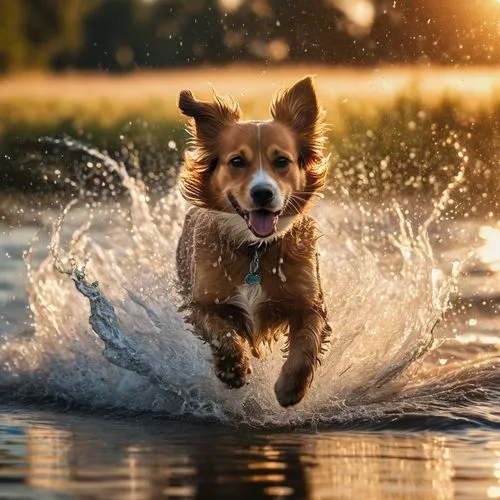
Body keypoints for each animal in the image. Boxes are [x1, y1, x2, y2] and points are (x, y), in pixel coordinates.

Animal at [177, 77, 332, 406]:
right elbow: (221, 331)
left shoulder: (310, 302)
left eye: (282, 161)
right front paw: (232, 367)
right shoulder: (203, 303)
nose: (263, 193)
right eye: (237, 161)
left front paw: (291, 387)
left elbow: (306, 343)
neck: (255, 251)